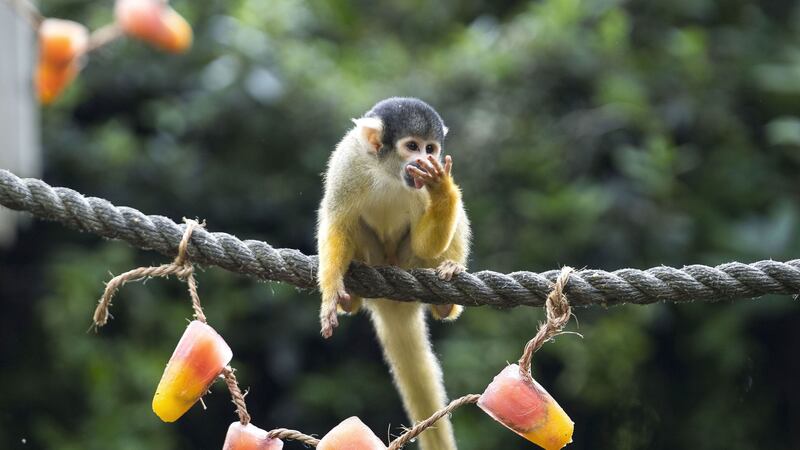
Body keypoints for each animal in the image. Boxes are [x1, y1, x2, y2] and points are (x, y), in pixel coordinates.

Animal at [318, 98, 468, 450]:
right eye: (411, 146)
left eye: (430, 148)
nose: (425, 159)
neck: (388, 173)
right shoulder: (348, 161)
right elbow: (337, 224)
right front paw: (331, 294)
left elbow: (428, 243)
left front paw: (442, 188)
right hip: (375, 257)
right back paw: (350, 299)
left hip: (408, 261)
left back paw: (446, 298)